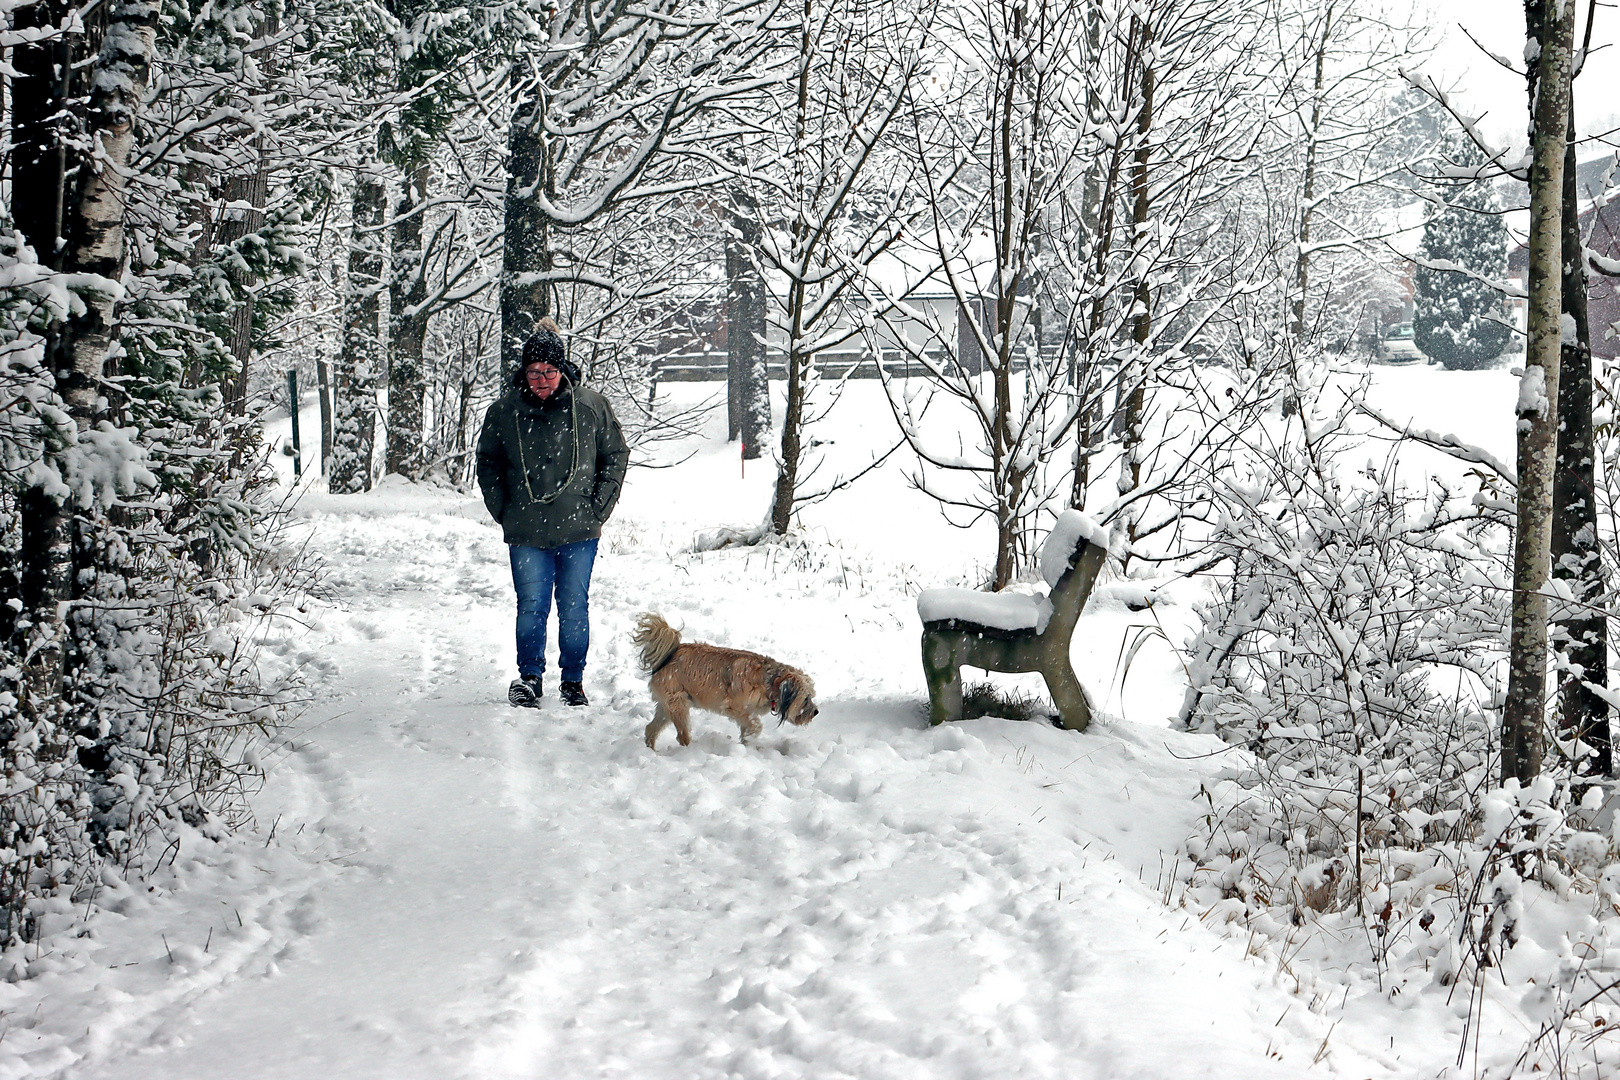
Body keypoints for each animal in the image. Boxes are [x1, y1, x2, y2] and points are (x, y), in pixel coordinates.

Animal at [625, 612, 816, 748]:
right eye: (806, 699)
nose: (816, 712)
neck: (770, 681)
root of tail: (667, 656)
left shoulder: (745, 711)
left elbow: (748, 727)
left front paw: (747, 744)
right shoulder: (734, 707)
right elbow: (755, 724)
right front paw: (752, 736)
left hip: (667, 706)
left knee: (651, 728)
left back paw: (651, 749)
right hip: (678, 705)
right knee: (681, 735)